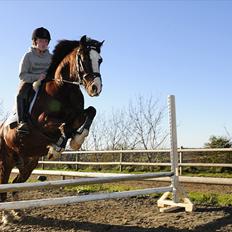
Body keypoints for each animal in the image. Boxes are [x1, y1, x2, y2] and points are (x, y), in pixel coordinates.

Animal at [0, 35, 104, 225]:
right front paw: (58, 148)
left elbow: (90, 112)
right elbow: (62, 126)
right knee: (4, 185)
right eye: (83, 58)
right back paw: (6, 216)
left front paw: (76, 140)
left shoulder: (77, 115)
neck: (63, 88)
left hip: (29, 162)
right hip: (7, 160)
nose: (95, 88)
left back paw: (17, 211)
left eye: (100, 60)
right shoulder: (43, 122)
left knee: (16, 183)